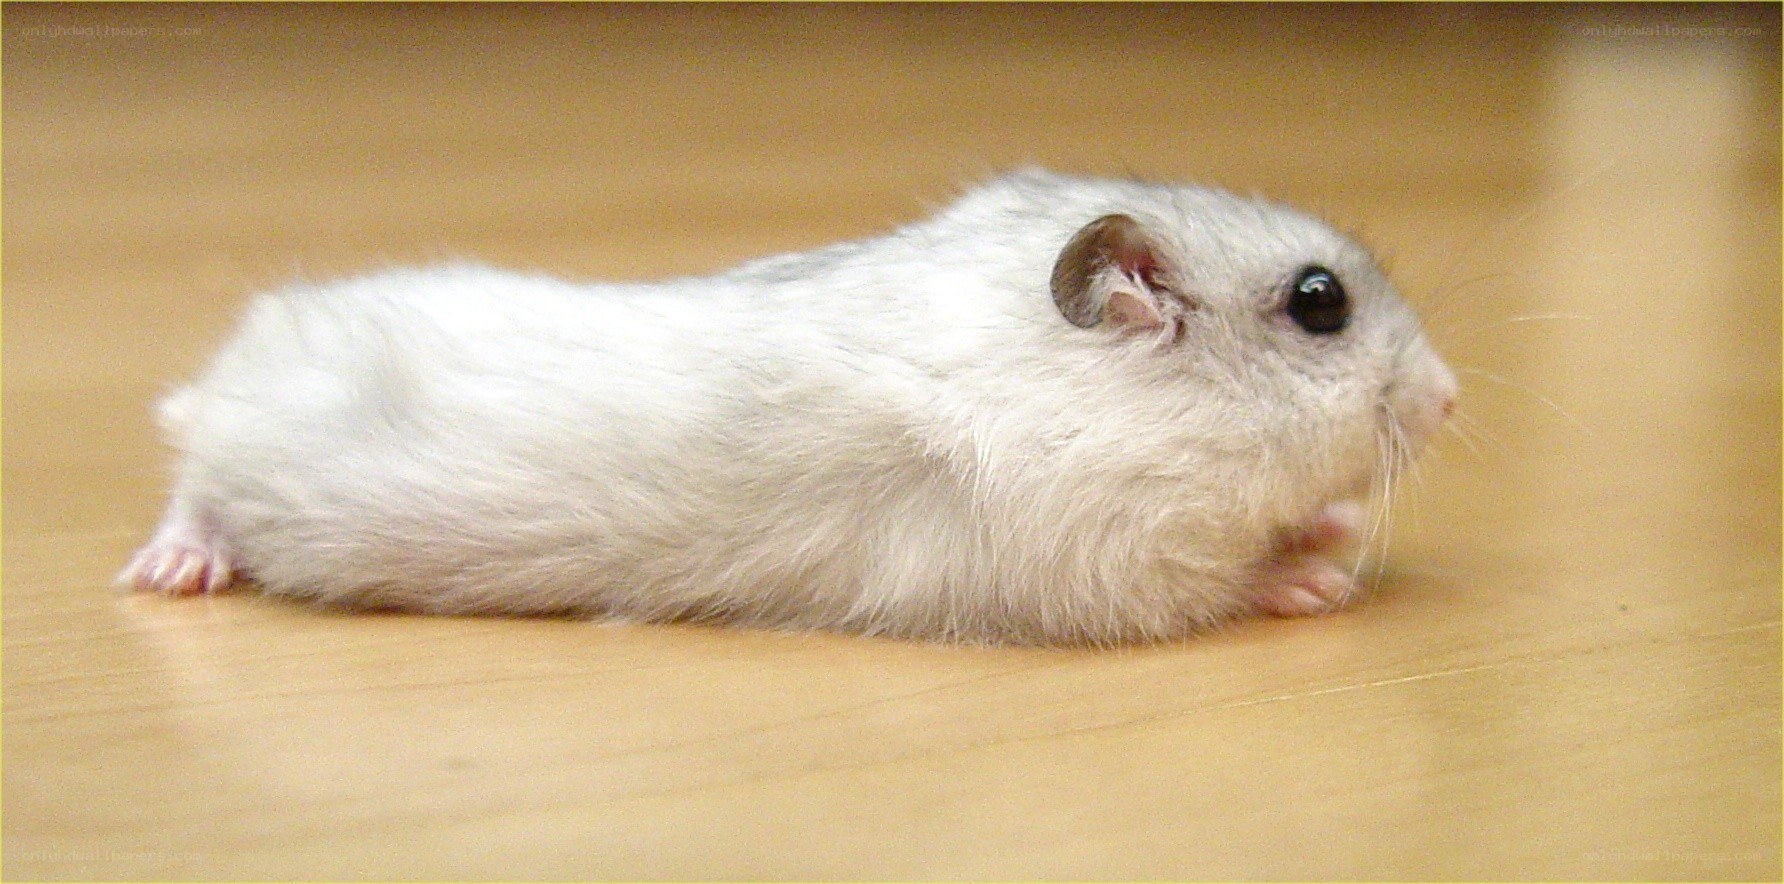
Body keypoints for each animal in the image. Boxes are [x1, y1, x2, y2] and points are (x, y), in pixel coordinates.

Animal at [119, 169, 1457, 646]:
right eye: (1320, 302)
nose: (1446, 400)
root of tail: (236, 362)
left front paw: (1330, 530)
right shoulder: (1103, 566)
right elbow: (1222, 584)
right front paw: (1313, 577)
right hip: (250, 464)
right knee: (193, 488)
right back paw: (169, 572)